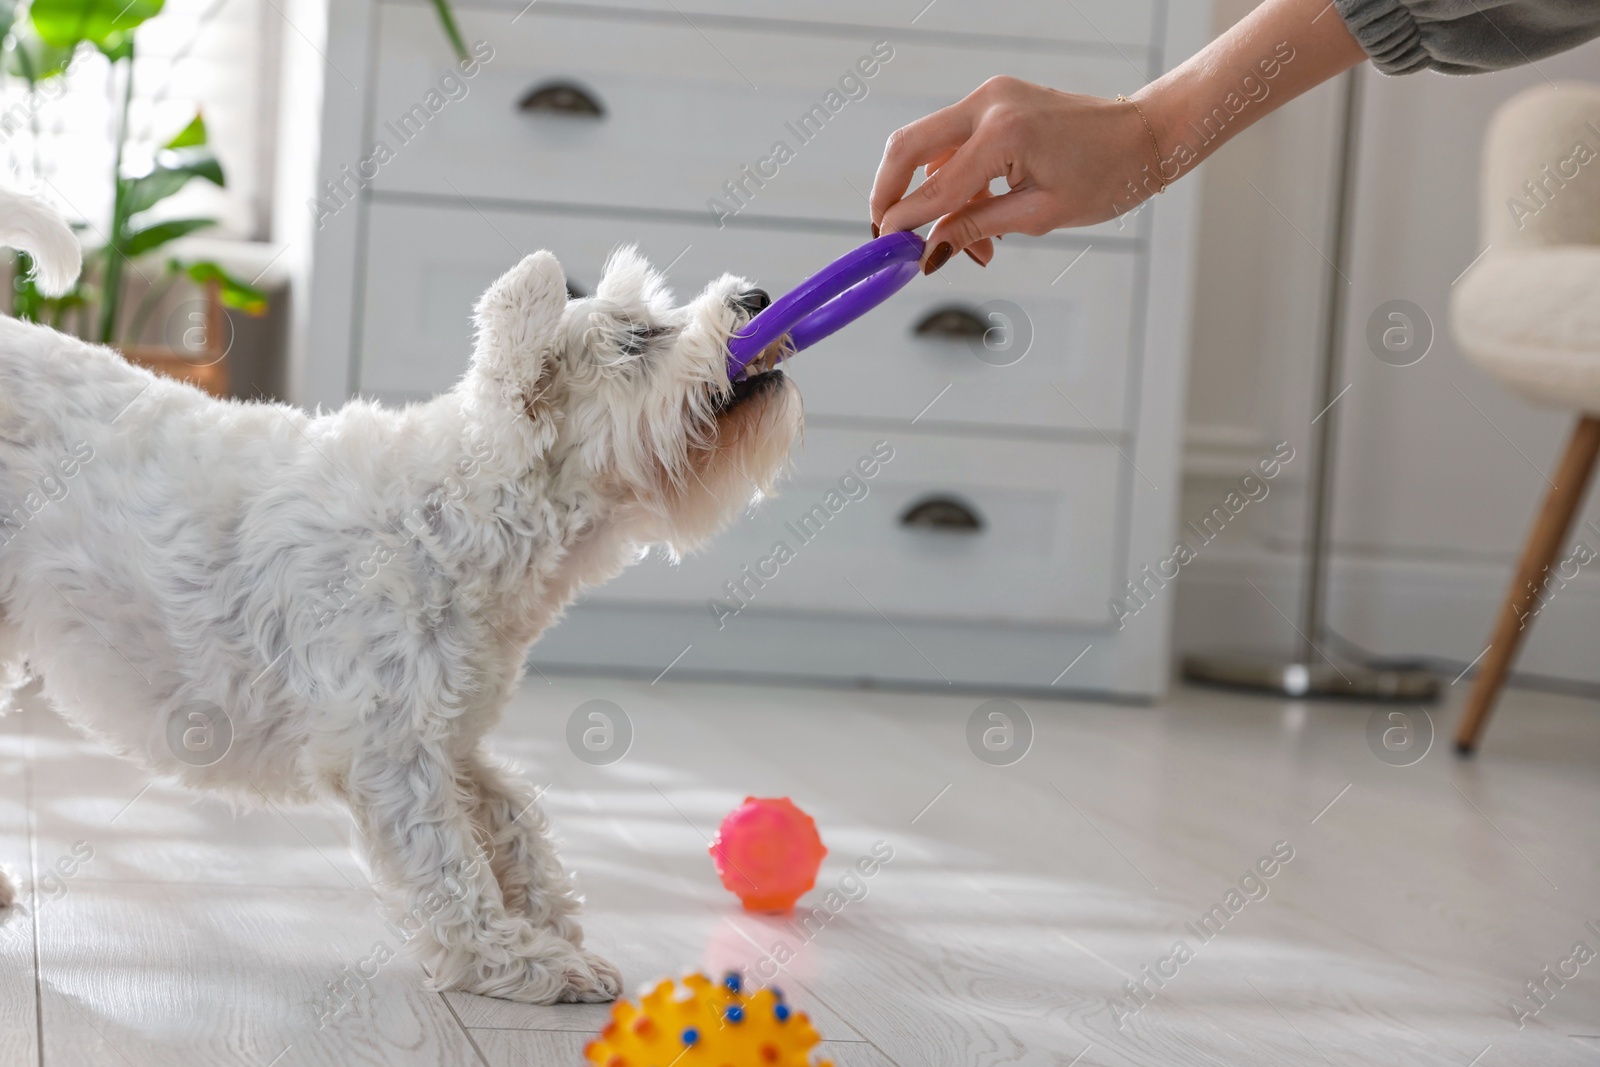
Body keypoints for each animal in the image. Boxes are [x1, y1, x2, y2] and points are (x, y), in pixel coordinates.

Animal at [0, 189, 800, 1004]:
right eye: (636, 337)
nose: (758, 298)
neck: (458, 513)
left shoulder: (452, 731)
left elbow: (514, 813)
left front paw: (553, 923)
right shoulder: (389, 750)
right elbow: (449, 869)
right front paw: (530, 962)